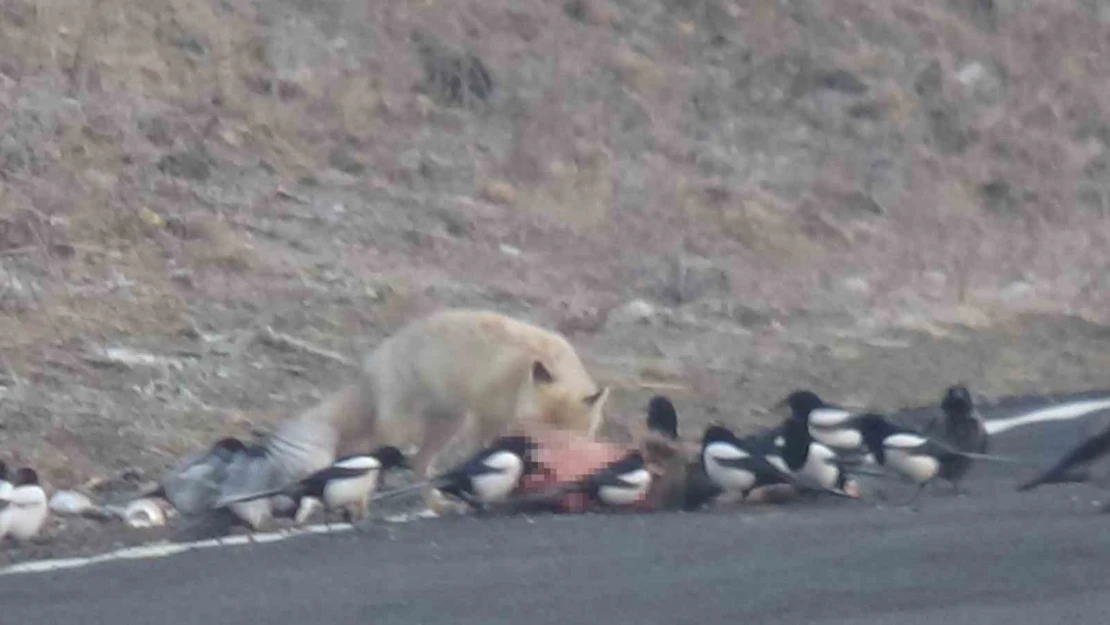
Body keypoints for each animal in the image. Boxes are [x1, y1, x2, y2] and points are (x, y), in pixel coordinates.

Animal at [254, 308, 612, 519]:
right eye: (540, 434)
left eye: (566, 439)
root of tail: (371, 364)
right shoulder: (487, 416)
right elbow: (488, 458)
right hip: (403, 430)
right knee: (362, 454)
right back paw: (354, 502)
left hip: (446, 426)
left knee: (416, 466)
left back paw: (435, 504)